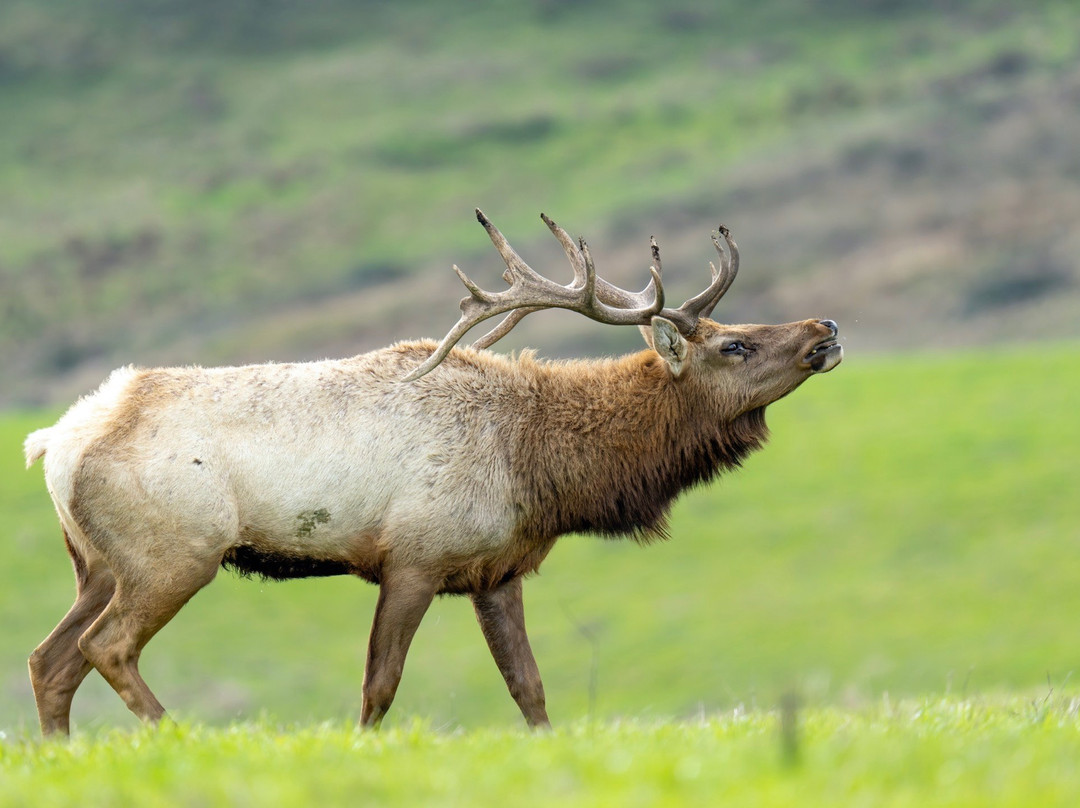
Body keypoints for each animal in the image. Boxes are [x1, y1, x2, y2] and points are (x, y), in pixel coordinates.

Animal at [21, 206, 838, 730]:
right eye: (732, 345)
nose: (825, 327)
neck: (541, 468)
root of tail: (56, 440)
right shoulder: (411, 557)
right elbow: (379, 687)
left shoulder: (497, 571)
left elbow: (530, 689)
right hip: (174, 554)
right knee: (104, 647)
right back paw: (177, 732)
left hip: (97, 564)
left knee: (48, 658)